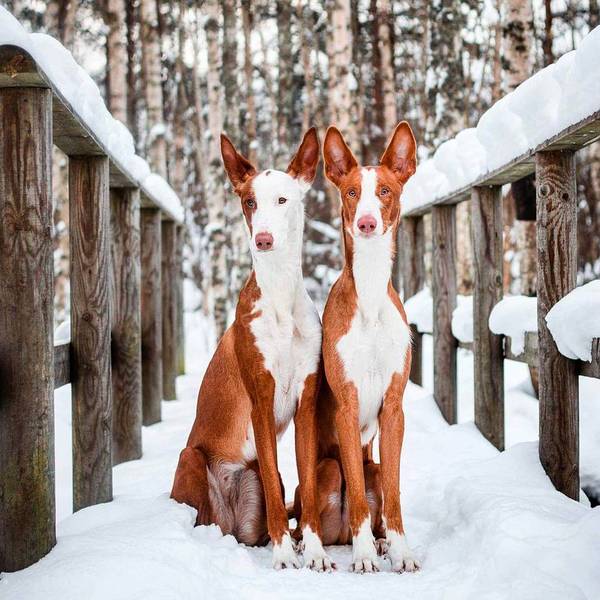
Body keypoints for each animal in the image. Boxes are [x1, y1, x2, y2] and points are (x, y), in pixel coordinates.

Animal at [171, 127, 332, 572]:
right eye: (249, 202)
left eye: (283, 200)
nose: (263, 239)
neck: (279, 299)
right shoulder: (261, 400)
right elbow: (280, 496)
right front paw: (284, 554)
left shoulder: (306, 404)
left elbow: (306, 485)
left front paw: (314, 551)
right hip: (192, 458)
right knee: (202, 513)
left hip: (254, 478)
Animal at [302, 120, 420, 572]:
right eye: (352, 192)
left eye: (384, 190)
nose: (367, 223)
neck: (368, 292)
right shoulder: (348, 407)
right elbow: (355, 496)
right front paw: (365, 554)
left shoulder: (394, 407)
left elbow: (395, 493)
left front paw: (400, 551)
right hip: (325, 469)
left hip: (374, 463)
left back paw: (383, 540)